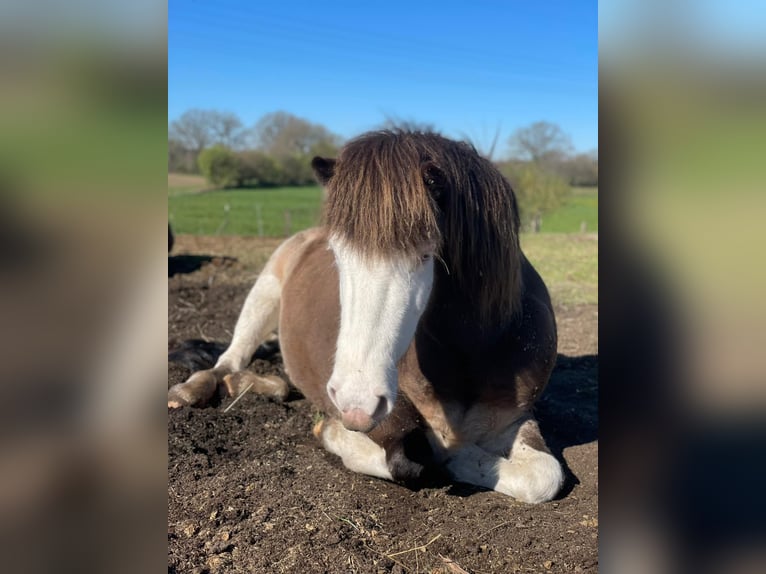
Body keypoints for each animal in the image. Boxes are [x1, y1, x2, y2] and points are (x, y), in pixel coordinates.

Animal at [168, 130, 563, 503]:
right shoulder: (389, 417)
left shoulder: (514, 419)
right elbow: (414, 459)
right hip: (262, 296)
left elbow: (543, 475)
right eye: (337, 253)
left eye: (425, 255)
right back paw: (191, 390)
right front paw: (332, 432)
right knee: (228, 360)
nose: (353, 401)